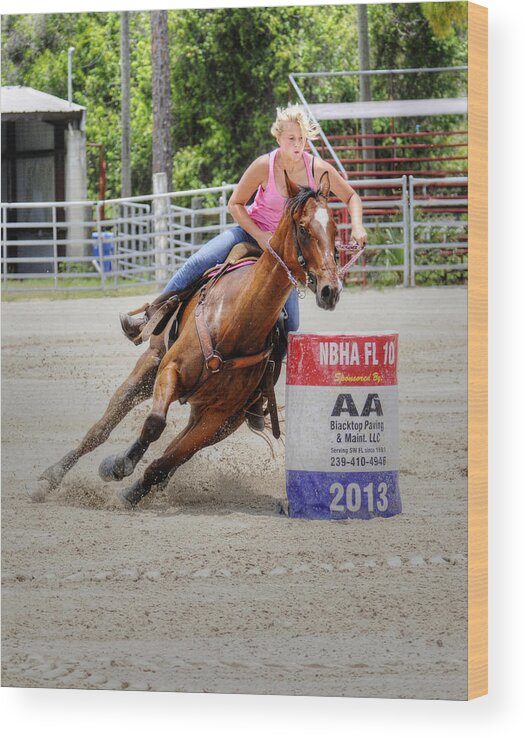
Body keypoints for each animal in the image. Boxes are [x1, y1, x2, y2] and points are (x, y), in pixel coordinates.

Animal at [35, 172, 340, 506]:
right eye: (304, 228)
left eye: (335, 229)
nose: (330, 290)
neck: (236, 320)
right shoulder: (170, 371)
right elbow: (154, 424)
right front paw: (118, 465)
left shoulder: (218, 416)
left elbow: (168, 459)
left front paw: (131, 489)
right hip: (149, 367)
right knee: (101, 428)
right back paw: (50, 477)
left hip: (221, 419)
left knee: (175, 455)